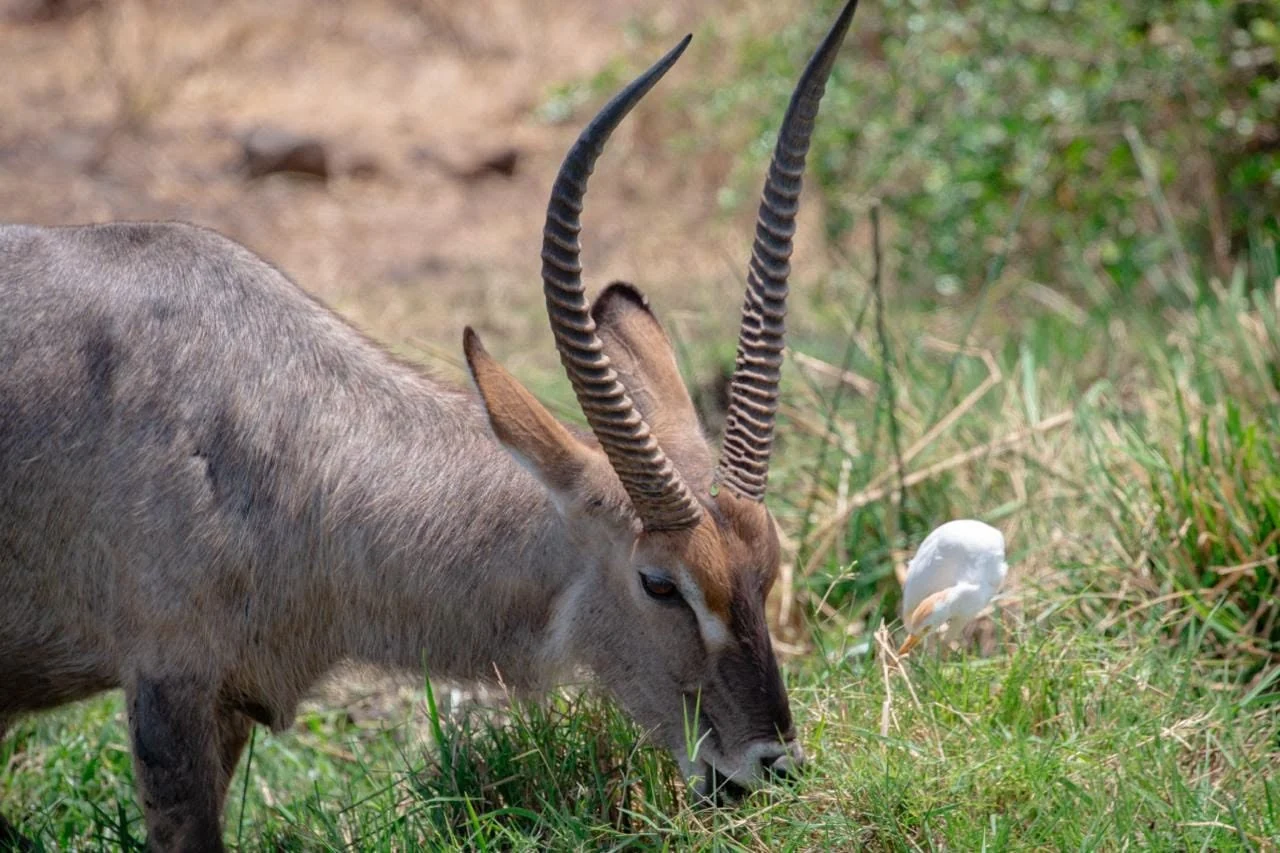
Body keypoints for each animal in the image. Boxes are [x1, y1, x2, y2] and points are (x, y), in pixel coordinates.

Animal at [0, 1, 858, 849]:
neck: (271, 431)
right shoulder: (167, 685)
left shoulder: (225, 702)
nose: (767, 765)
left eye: (768, 567)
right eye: (658, 581)